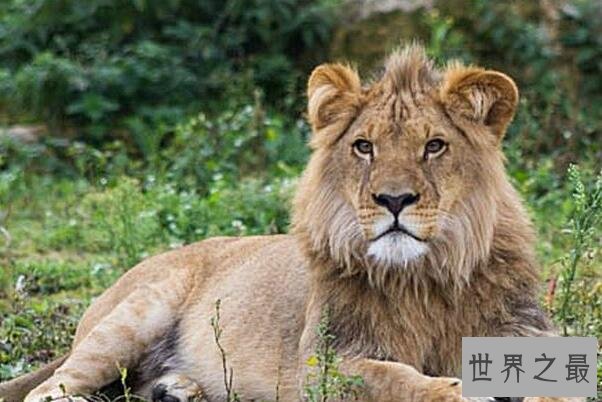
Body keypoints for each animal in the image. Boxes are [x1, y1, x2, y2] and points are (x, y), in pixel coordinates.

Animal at [0, 44, 576, 402]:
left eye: (434, 146)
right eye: (363, 147)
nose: (393, 200)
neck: (424, 279)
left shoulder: (522, 330)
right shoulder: (325, 362)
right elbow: (396, 380)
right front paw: (460, 390)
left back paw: (180, 388)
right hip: (133, 316)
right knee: (49, 389)